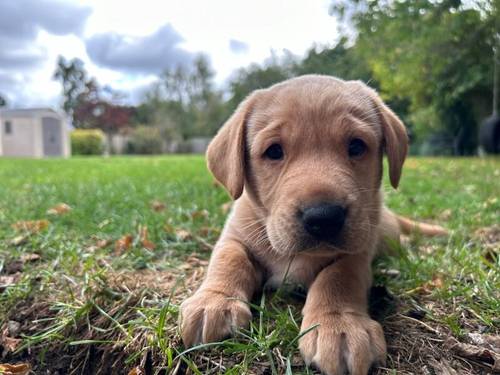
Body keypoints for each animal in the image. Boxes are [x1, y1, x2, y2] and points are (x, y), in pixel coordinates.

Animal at [180, 75, 446, 374]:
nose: (324, 217)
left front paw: (340, 324)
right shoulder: (234, 235)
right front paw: (213, 301)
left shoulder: (359, 251)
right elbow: (229, 259)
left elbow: (338, 276)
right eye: (274, 151)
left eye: (356, 146)